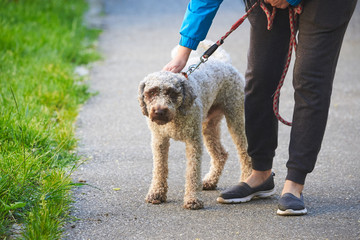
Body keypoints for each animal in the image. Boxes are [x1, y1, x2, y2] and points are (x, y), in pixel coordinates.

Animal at [139, 41, 252, 210]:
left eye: (171, 92)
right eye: (151, 92)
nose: (159, 112)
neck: (175, 117)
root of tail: (223, 61)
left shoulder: (193, 141)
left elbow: (192, 171)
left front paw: (192, 199)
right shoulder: (159, 140)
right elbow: (160, 168)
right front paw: (156, 193)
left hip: (235, 117)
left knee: (244, 152)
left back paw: (245, 180)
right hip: (209, 126)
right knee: (220, 154)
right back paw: (210, 181)